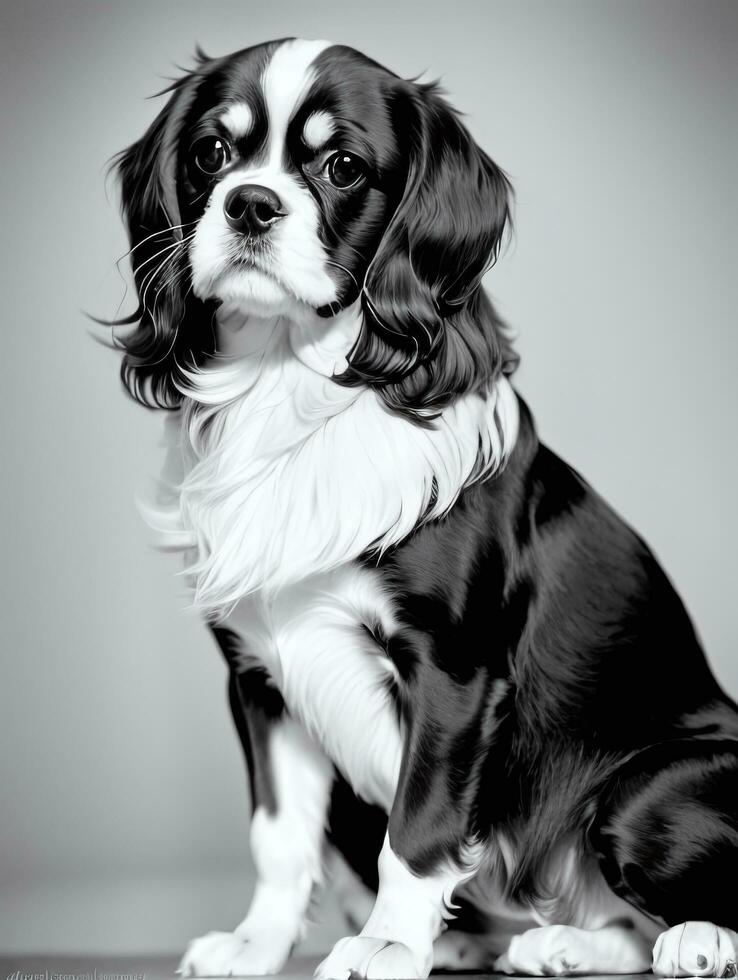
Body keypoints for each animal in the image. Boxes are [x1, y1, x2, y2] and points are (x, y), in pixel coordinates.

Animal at [109, 38, 736, 980]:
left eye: (341, 166)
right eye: (211, 154)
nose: (250, 202)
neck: (288, 385)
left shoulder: (451, 673)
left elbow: (420, 824)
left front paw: (390, 944)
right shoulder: (259, 676)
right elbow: (278, 834)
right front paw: (258, 944)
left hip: (641, 790)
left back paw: (695, 936)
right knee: (614, 923)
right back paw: (551, 943)